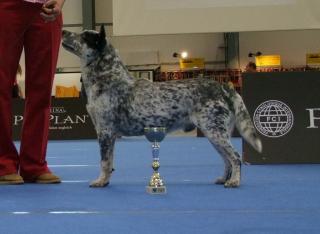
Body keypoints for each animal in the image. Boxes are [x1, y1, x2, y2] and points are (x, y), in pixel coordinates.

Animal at [61, 26, 262, 188]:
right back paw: (223, 179)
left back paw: (234, 181)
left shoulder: (105, 131)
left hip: (215, 132)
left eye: (84, 36)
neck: (109, 78)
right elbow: (109, 162)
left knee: (235, 157)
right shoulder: (108, 134)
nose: (63, 31)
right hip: (215, 134)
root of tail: (224, 87)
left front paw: (101, 181)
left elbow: (104, 162)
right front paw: (106, 180)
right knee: (227, 160)